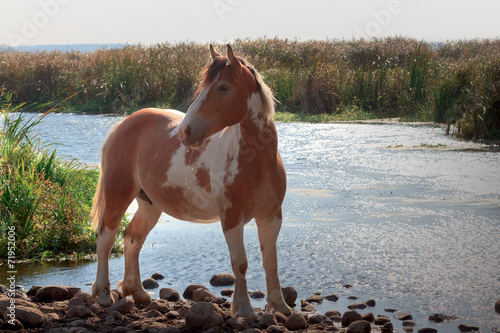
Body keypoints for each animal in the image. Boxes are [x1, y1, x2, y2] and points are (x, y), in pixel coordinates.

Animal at [90, 43, 292, 316]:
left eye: (223, 87)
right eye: (201, 86)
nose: (186, 131)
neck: (256, 160)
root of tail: (124, 124)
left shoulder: (271, 216)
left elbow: (271, 262)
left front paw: (280, 307)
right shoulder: (232, 218)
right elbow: (240, 263)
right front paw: (243, 309)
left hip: (149, 204)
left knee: (133, 238)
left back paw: (139, 293)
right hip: (117, 194)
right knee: (106, 238)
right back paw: (103, 294)